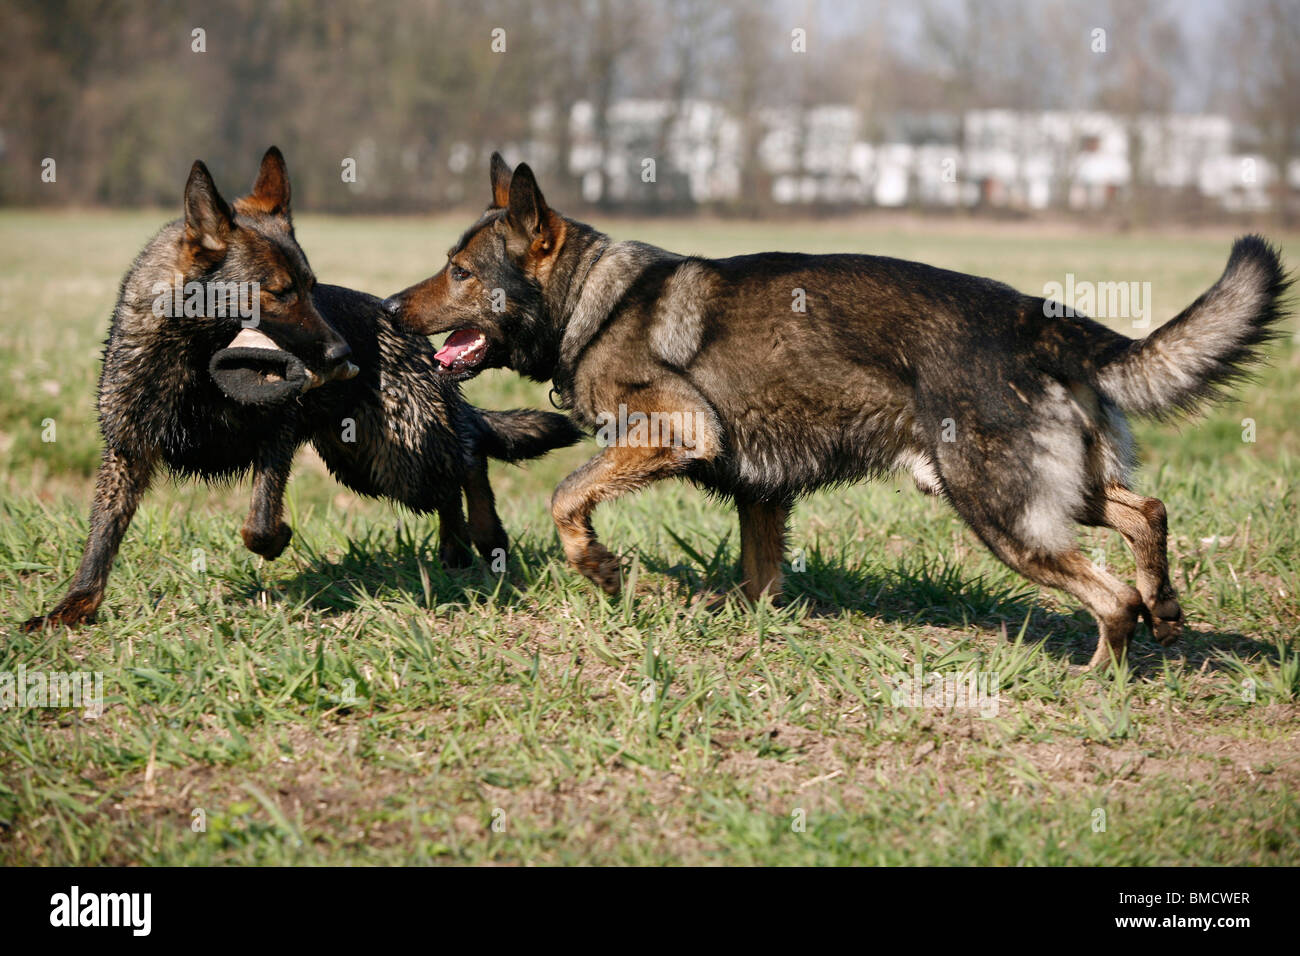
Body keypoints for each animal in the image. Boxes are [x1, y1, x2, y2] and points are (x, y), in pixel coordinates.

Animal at [19, 145, 579, 632]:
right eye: (280, 292)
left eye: (312, 288)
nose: (345, 357)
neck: (193, 365)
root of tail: (416, 340)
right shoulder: (127, 454)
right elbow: (101, 538)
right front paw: (74, 606)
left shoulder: (277, 434)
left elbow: (260, 521)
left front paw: (276, 541)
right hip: (363, 463)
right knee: (450, 481)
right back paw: (456, 550)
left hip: (397, 457)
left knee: (466, 455)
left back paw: (481, 536)